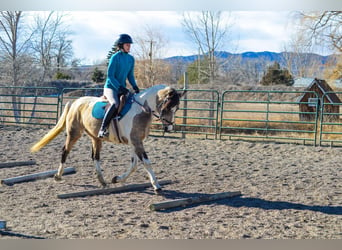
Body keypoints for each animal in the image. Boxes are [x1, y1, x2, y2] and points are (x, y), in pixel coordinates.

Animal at [30, 84, 186, 193]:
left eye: (177, 108)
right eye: (167, 107)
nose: (169, 128)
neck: (141, 110)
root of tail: (75, 102)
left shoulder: (134, 142)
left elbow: (134, 165)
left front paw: (117, 179)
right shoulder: (136, 142)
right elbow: (146, 163)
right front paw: (157, 186)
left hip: (95, 138)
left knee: (95, 156)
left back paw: (102, 181)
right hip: (74, 133)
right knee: (65, 151)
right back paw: (58, 176)